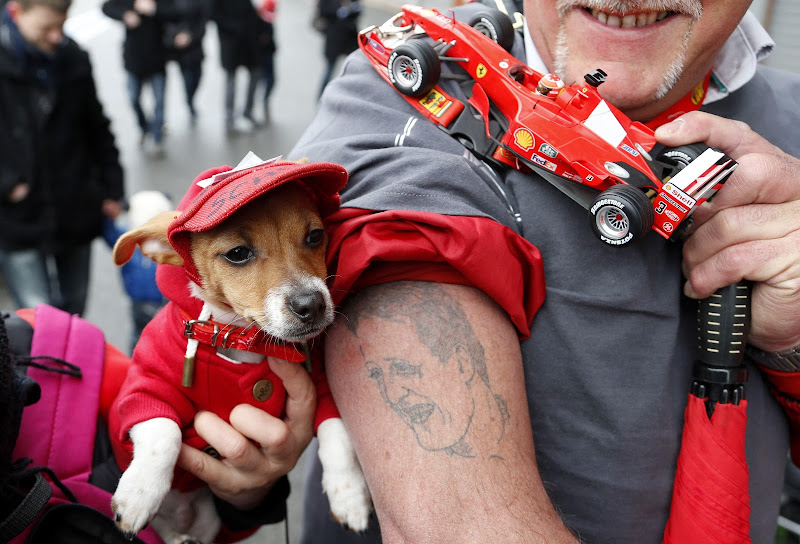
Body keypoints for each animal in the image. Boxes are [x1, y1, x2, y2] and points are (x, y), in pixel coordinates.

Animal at [108, 156, 374, 544]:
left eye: (315, 236)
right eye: (237, 254)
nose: (312, 305)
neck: (243, 340)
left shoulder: (323, 386)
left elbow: (337, 435)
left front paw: (349, 495)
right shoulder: (145, 384)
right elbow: (163, 431)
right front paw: (139, 494)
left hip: (207, 519)